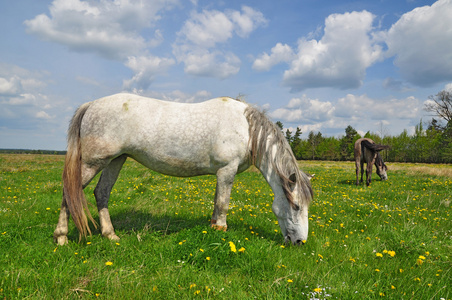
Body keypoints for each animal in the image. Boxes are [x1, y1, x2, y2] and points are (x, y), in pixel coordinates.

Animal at [53, 94, 314, 246]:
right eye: (296, 206)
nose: (300, 241)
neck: (247, 129)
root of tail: (91, 104)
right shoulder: (226, 171)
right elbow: (223, 203)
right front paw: (220, 230)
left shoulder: (222, 174)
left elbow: (216, 202)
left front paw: (213, 226)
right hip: (93, 162)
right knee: (70, 192)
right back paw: (61, 237)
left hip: (116, 160)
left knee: (102, 193)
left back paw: (110, 235)